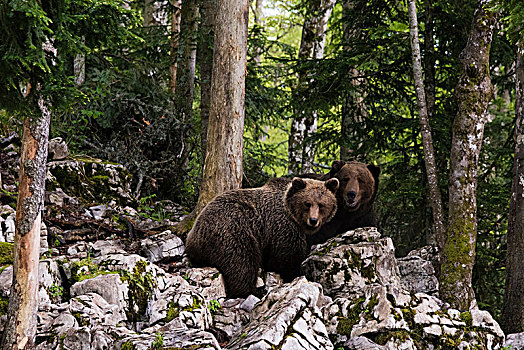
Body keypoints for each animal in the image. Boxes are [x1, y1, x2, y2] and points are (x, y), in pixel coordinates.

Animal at [186, 176, 338, 296]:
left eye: (321, 205)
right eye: (307, 203)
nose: (313, 220)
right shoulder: (282, 226)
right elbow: (286, 257)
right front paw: (299, 273)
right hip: (232, 231)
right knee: (241, 262)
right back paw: (254, 290)